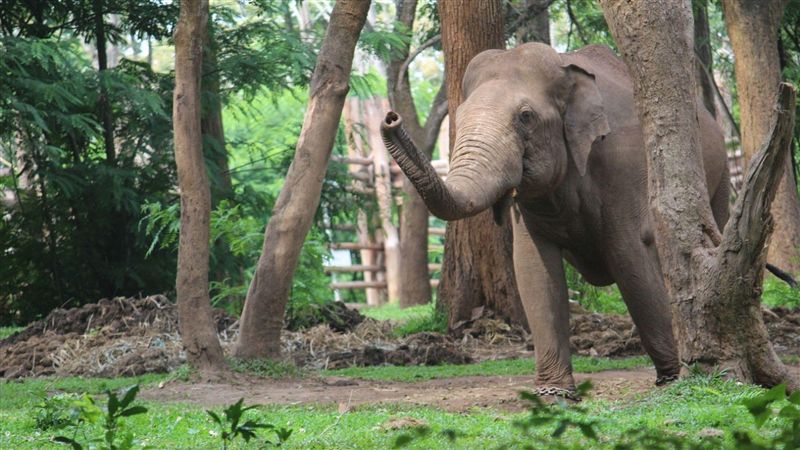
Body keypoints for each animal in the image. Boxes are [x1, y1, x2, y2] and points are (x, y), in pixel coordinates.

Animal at [381, 43, 730, 399]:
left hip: (719, 177)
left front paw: (673, 377)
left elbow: (629, 257)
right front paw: (554, 395)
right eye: (460, 116)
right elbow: (533, 268)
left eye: (526, 116)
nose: (391, 117)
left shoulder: (624, 168)